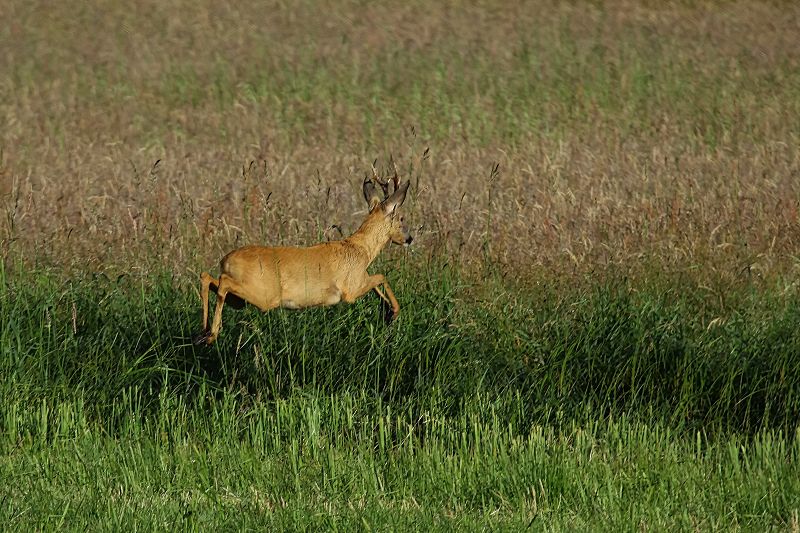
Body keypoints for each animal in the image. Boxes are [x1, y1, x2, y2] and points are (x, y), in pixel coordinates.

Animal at [195, 162, 412, 344]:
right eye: (401, 218)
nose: (409, 238)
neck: (361, 250)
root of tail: (226, 261)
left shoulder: (359, 279)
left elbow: (376, 280)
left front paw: (387, 310)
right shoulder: (350, 289)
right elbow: (380, 276)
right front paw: (393, 311)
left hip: (239, 300)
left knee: (208, 278)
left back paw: (202, 333)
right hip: (263, 295)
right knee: (222, 283)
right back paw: (211, 334)